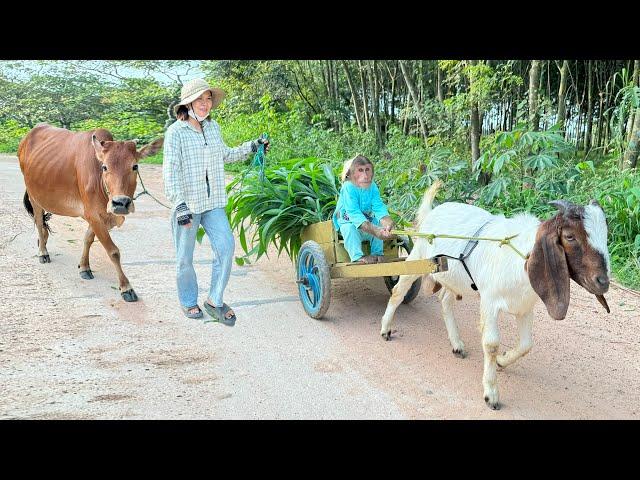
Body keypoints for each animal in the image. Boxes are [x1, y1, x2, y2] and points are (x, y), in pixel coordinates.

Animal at [18, 124, 164, 300]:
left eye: (135, 166)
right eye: (105, 167)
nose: (121, 203)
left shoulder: (99, 216)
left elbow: (88, 239)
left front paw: (84, 267)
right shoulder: (93, 214)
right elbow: (113, 251)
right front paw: (126, 288)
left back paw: (43, 242)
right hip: (34, 197)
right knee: (39, 223)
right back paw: (43, 252)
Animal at [380, 180, 608, 408]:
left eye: (606, 236)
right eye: (570, 236)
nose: (603, 281)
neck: (519, 259)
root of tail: (433, 211)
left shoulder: (524, 307)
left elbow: (526, 345)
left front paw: (502, 360)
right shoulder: (489, 302)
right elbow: (491, 344)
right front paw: (491, 393)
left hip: (453, 277)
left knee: (445, 300)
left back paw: (457, 344)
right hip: (417, 257)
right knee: (399, 291)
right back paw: (386, 329)